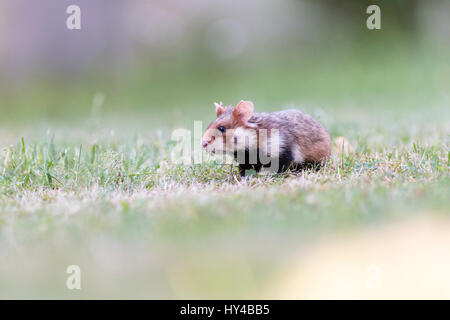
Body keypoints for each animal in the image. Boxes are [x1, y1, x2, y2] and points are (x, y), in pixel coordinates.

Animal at [202, 100, 332, 176]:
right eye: (209, 125)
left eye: (222, 128)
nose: (203, 143)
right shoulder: (245, 160)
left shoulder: (282, 151)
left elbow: (281, 167)